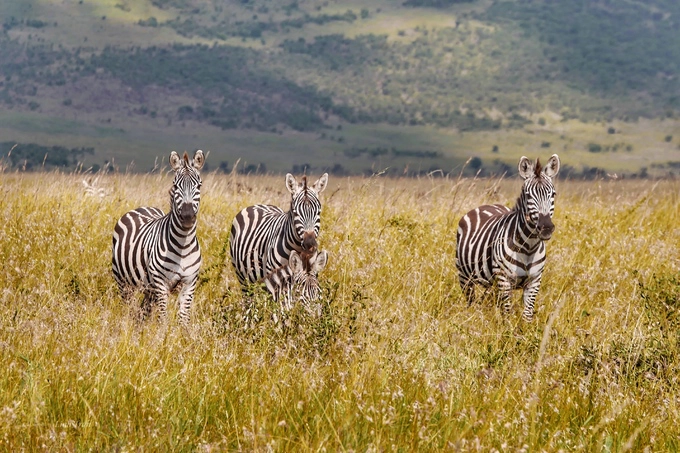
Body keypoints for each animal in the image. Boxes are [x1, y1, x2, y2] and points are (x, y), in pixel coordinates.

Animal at [111, 150, 205, 324]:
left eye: (199, 185)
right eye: (175, 186)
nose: (188, 217)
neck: (183, 244)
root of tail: (142, 208)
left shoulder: (190, 283)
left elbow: (183, 318)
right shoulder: (161, 283)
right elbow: (163, 317)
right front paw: (163, 332)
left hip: (148, 289)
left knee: (143, 311)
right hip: (123, 282)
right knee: (129, 308)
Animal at [456, 154, 564, 320]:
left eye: (553, 194)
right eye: (528, 195)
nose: (546, 228)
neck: (529, 247)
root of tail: (486, 205)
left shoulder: (534, 281)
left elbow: (527, 314)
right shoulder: (504, 279)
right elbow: (507, 314)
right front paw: (506, 327)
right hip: (464, 276)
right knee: (470, 301)